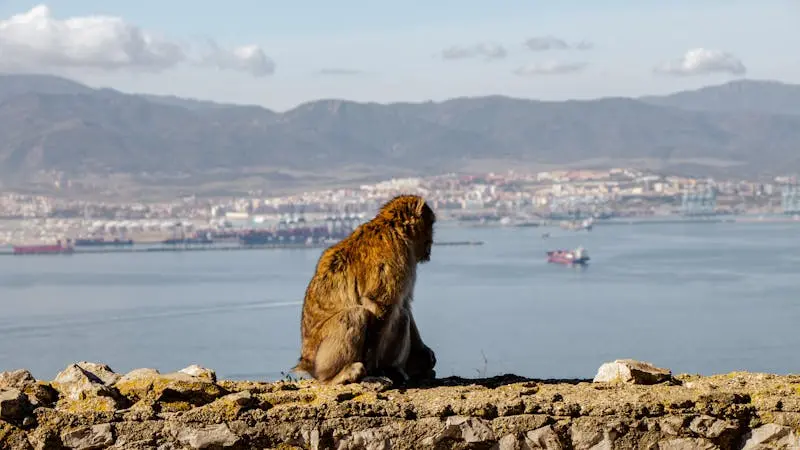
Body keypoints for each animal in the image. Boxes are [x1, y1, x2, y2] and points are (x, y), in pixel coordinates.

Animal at [292, 194, 437, 385]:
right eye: (431, 224)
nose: (432, 241)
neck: (394, 229)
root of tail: (306, 362)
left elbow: (404, 304)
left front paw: (423, 353)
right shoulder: (396, 259)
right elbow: (379, 304)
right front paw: (373, 366)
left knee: (401, 315)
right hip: (322, 359)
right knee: (356, 315)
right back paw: (339, 375)